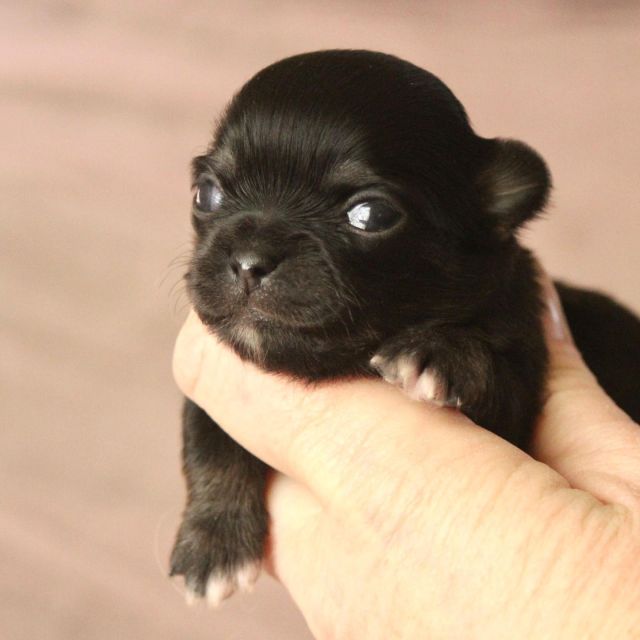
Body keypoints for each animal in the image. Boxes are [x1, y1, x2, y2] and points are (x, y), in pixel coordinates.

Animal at [170, 50, 640, 604]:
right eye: (206, 194)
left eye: (371, 215)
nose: (247, 261)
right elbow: (206, 434)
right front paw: (213, 540)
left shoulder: (520, 391)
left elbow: (492, 369)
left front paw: (441, 350)